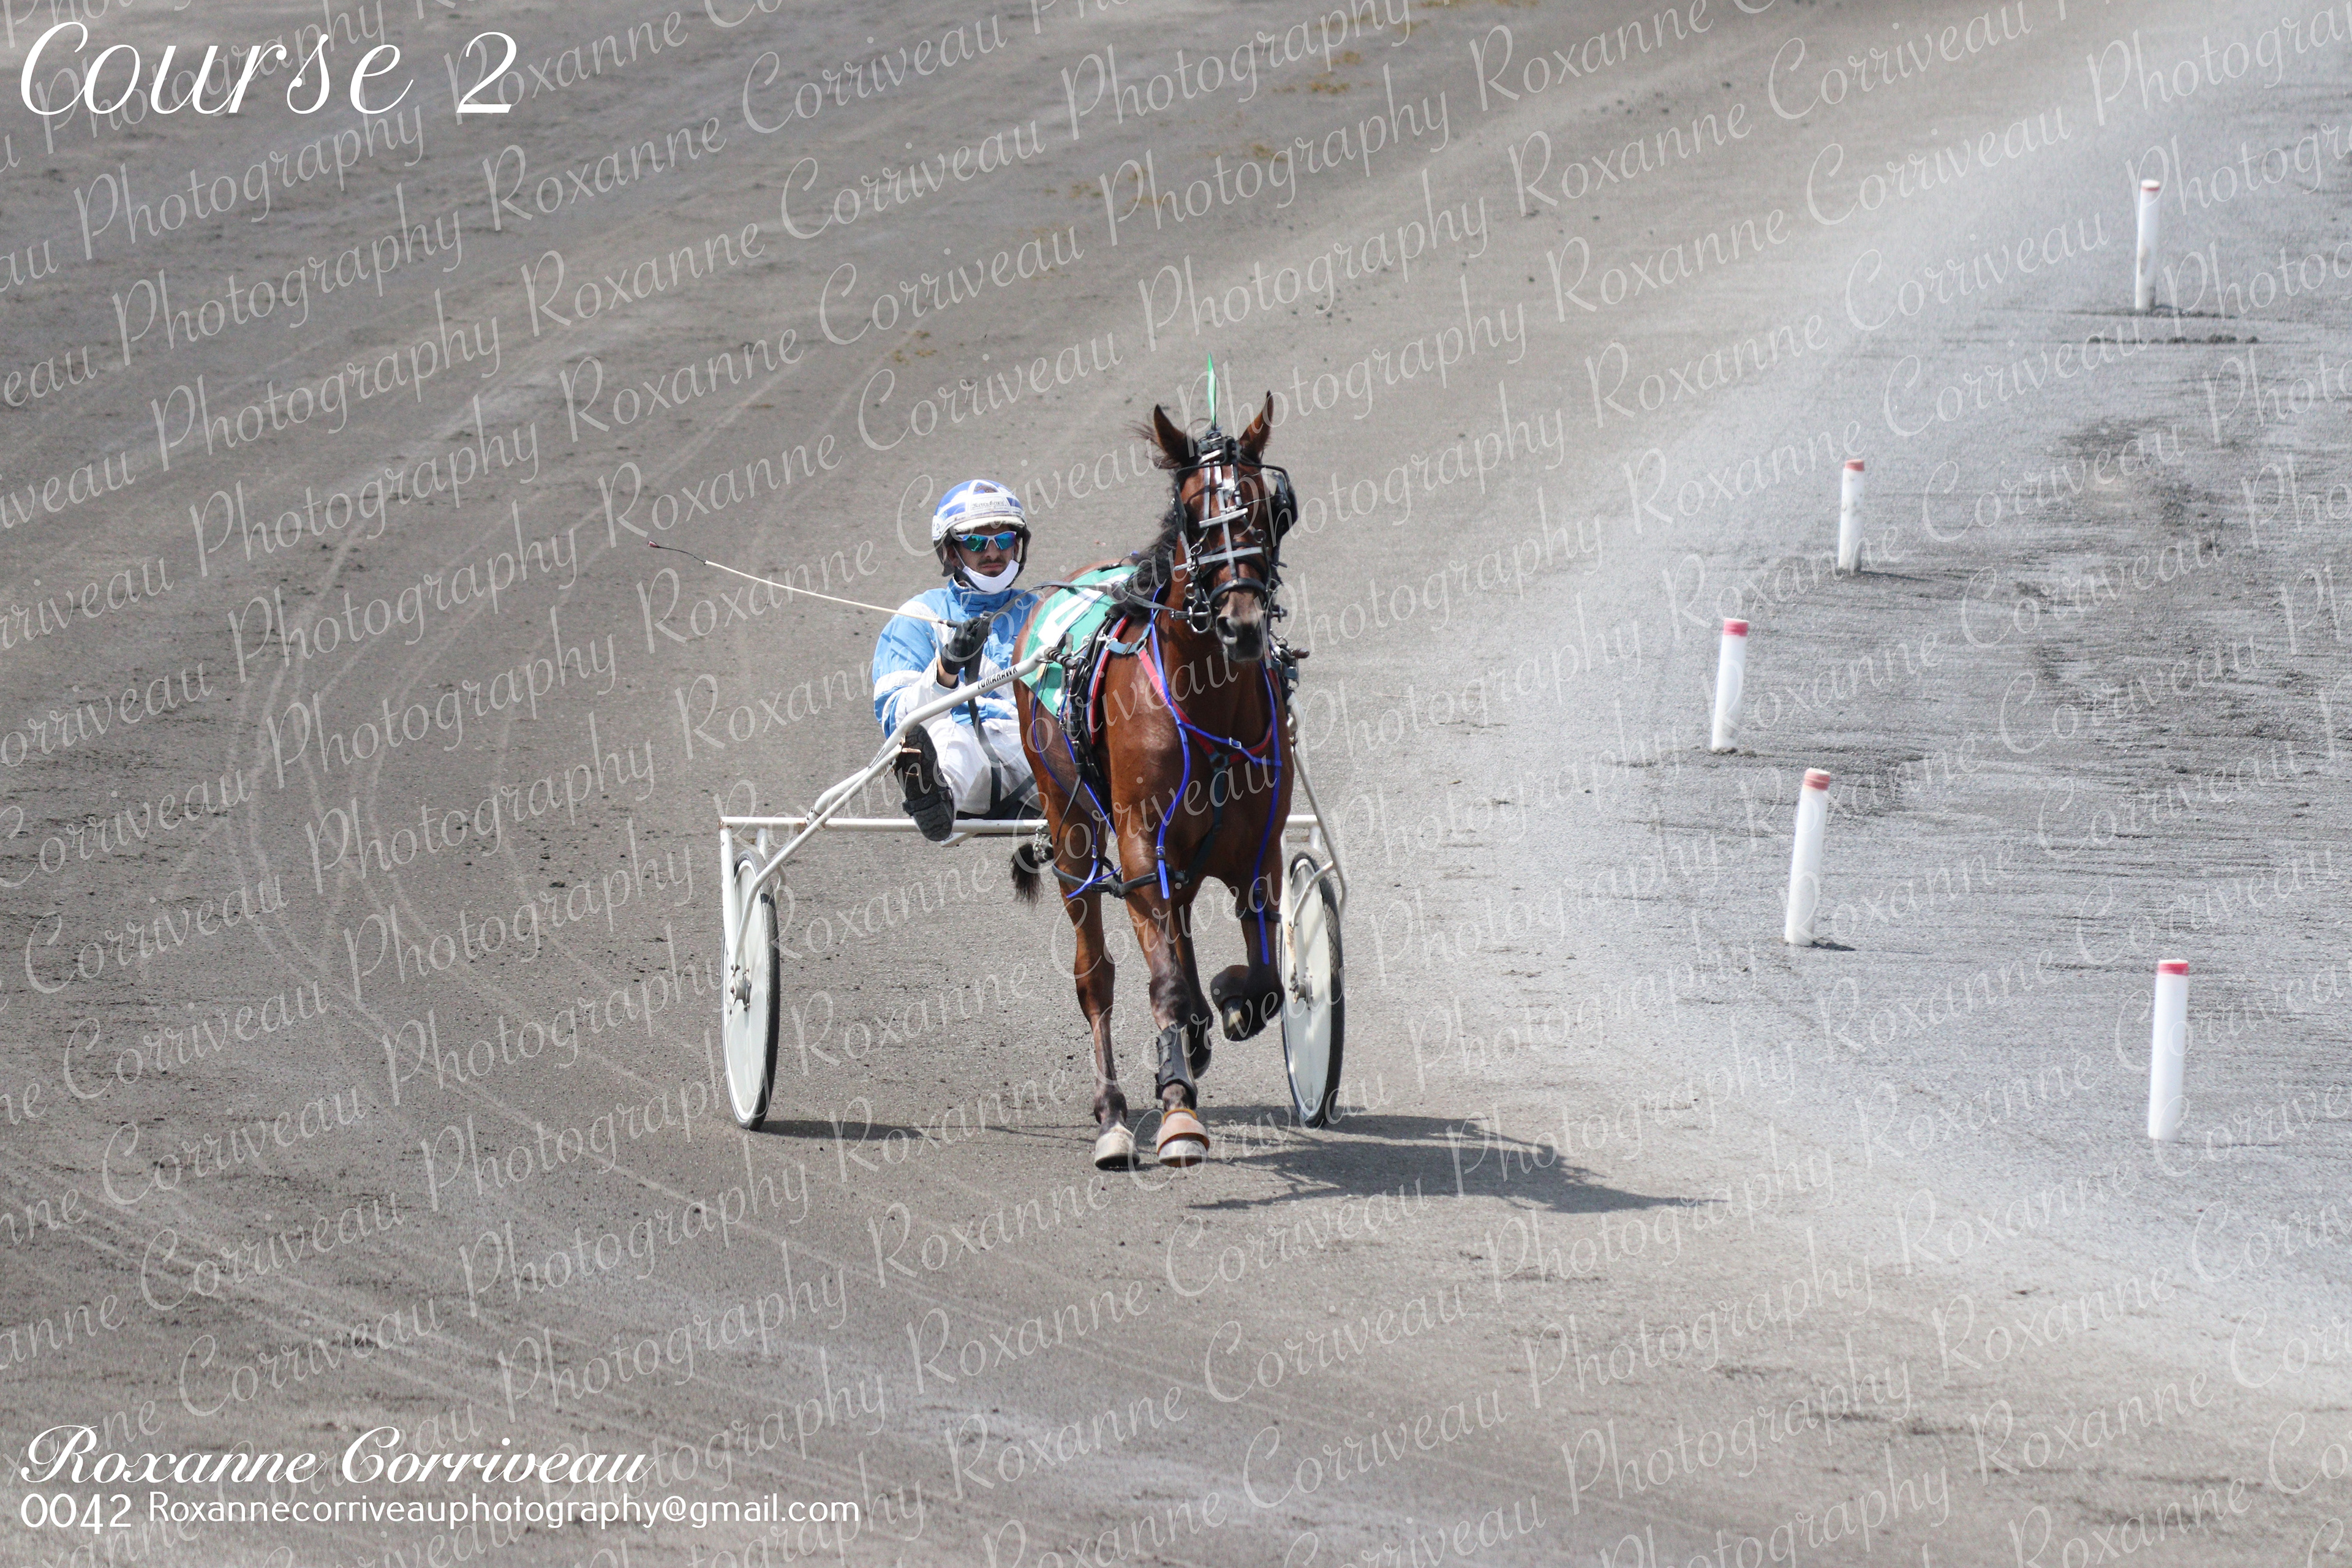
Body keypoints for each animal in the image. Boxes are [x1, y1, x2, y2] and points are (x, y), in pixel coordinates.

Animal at [1011, 397, 1296, 1169]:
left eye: (1267, 510)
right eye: (1196, 515)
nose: (1241, 624)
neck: (1208, 704)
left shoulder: (1260, 853)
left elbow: (1264, 986)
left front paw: (1223, 1001)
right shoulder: (1142, 846)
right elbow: (1162, 982)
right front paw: (1177, 1112)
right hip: (1073, 828)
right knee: (1097, 974)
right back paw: (1112, 1115)